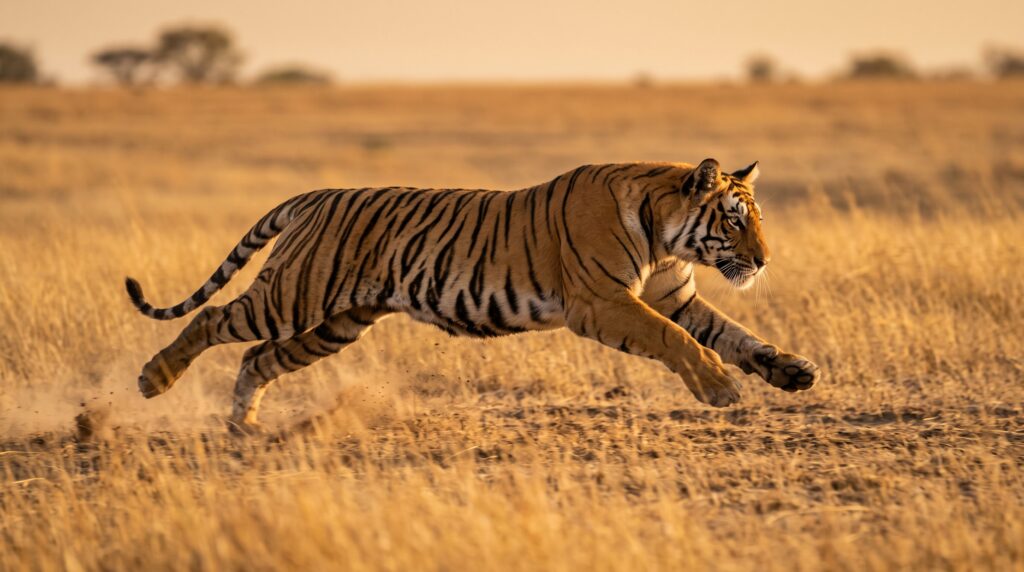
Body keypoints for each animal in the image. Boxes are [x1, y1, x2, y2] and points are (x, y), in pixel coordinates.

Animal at [127, 158, 820, 433]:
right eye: (733, 220)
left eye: (754, 219)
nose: (764, 260)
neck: (666, 236)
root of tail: (316, 195)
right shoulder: (602, 304)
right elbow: (678, 340)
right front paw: (719, 387)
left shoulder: (673, 296)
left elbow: (737, 336)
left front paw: (791, 371)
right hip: (295, 295)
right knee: (213, 318)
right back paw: (153, 380)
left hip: (337, 323)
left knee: (257, 358)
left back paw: (243, 425)